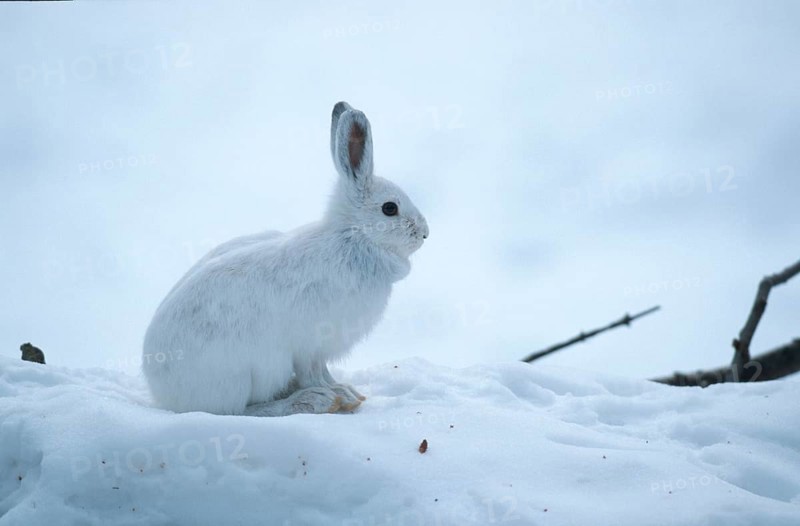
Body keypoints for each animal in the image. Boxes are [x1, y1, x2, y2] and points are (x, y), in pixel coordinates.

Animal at [142, 101, 429, 416]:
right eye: (389, 208)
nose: (424, 233)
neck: (353, 239)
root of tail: (163, 393)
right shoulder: (311, 343)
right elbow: (314, 372)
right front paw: (337, 394)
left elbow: (324, 371)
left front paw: (346, 390)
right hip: (248, 371)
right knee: (239, 410)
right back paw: (308, 400)